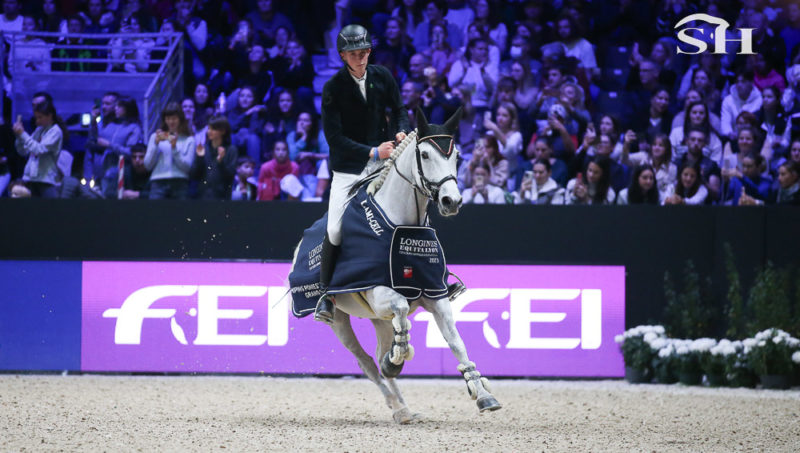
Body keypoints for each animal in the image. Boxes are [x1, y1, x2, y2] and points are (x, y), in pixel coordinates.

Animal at [289, 108, 502, 424]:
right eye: (424, 154)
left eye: (456, 155)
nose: (451, 201)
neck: (402, 227)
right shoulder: (377, 291)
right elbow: (402, 308)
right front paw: (398, 356)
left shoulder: (435, 295)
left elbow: (456, 342)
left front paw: (483, 394)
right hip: (340, 320)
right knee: (367, 362)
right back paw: (396, 401)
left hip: (378, 318)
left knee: (377, 354)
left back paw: (404, 409)